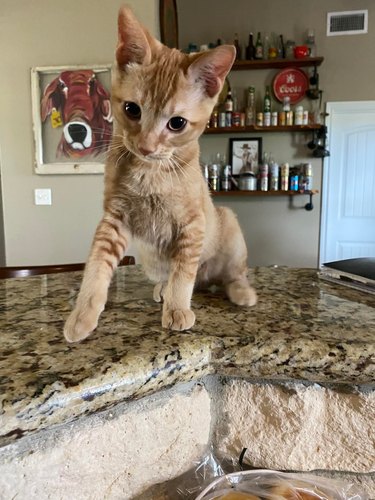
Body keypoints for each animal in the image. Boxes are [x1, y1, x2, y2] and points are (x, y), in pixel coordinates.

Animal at [64, 6, 258, 344]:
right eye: (132, 109)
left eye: (177, 123)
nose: (146, 146)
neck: (150, 172)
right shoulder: (114, 218)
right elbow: (97, 265)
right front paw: (83, 313)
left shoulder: (192, 226)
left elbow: (183, 272)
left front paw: (178, 308)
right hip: (150, 258)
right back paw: (162, 289)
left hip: (228, 226)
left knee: (229, 275)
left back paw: (239, 292)